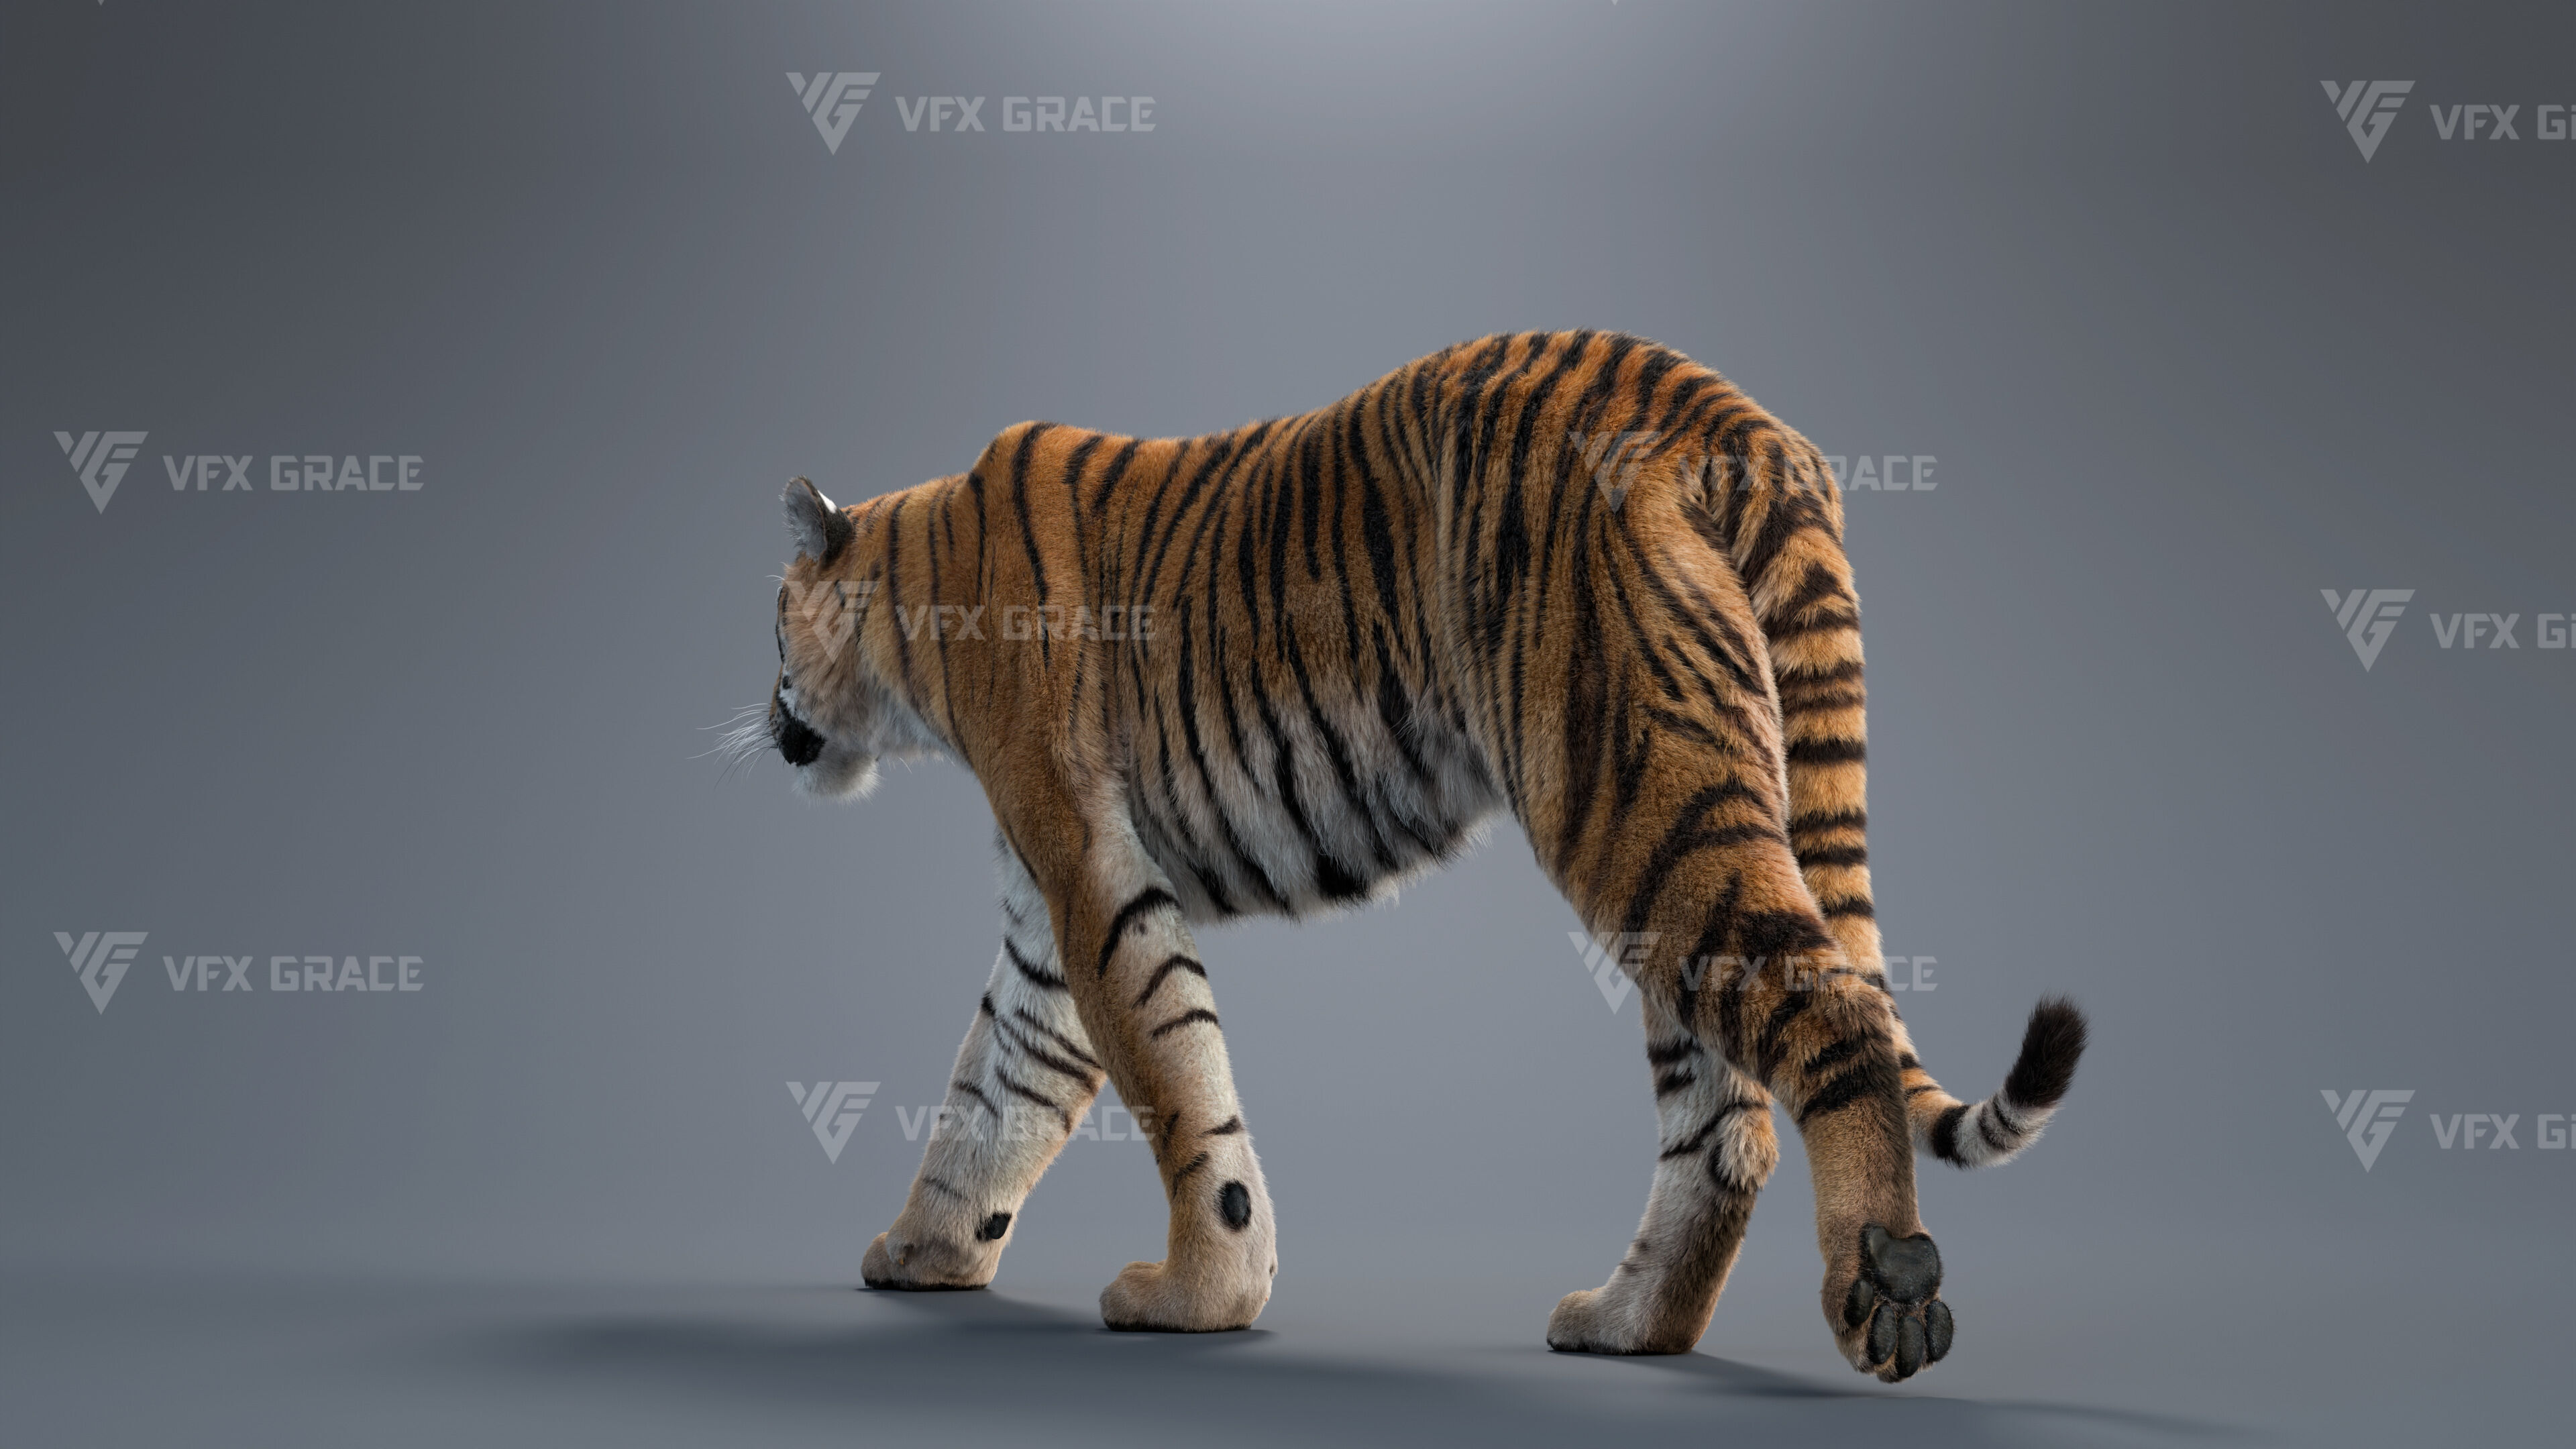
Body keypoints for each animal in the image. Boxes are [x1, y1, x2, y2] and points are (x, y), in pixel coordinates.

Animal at [755, 330, 2087, 1381]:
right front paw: (926, 1253)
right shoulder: (1049, 914)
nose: (769, 718)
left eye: (770, 623)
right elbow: (999, 1085)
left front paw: (1197, 1296)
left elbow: (1168, 1076)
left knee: (1832, 1018)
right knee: (1725, 1125)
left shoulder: (1090, 871)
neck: (913, 625)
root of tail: (1724, 410)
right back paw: (1627, 1326)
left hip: (1637, 796)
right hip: (1677, 839)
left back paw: (1887, 1286)